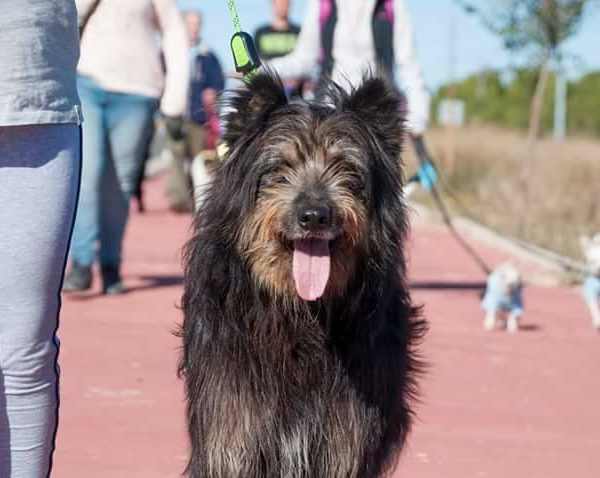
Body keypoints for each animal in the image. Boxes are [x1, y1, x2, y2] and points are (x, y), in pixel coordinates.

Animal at [179, 72, 426, 478]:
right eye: (280, 168)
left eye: (346, 168)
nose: (314, 216)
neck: (301, 313)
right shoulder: (232, 427)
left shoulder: (346, 436)